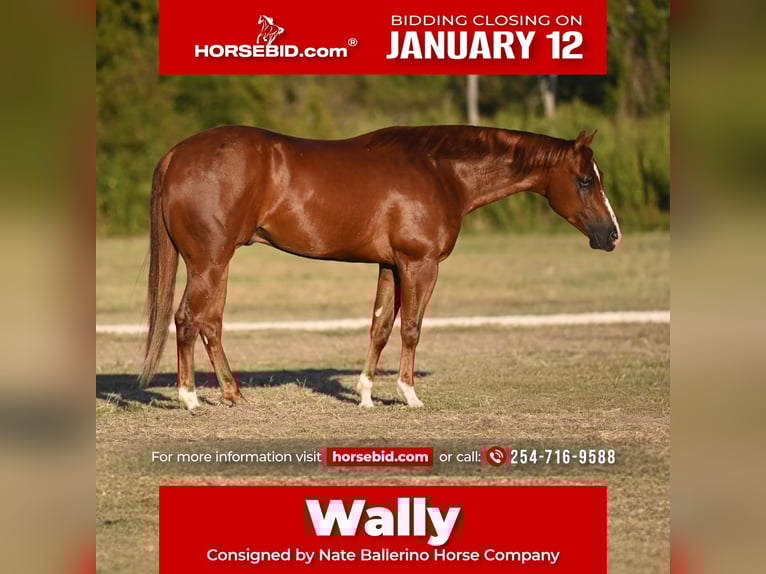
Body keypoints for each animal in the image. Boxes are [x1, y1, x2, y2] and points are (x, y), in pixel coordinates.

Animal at [139, 125, 621, 410]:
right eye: (585, 180)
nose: (612, 235)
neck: (439, 173)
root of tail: (175, 154)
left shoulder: (389, 266)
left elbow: (380, 326)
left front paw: (366, 394)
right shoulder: (419, 264)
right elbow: (411, 328)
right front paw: (409, 394)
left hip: (213, 265)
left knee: (208, 323)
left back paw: (231, 393)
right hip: (210, 262)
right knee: (189, 319)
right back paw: (191, 397)